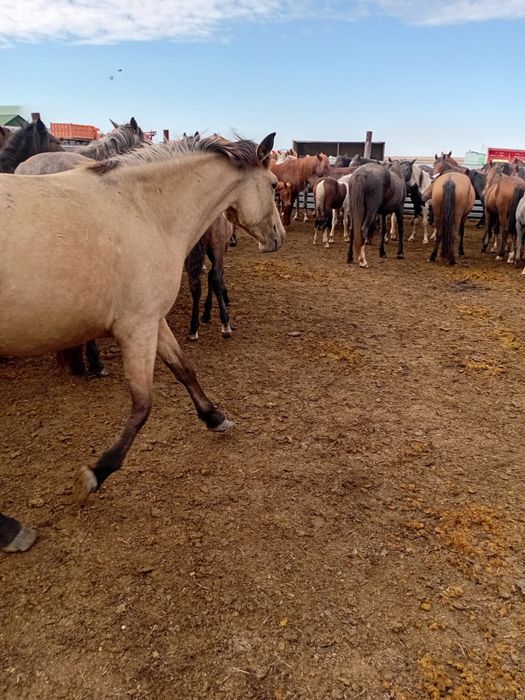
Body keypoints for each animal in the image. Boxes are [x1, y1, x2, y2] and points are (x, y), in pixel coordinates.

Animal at [0, 132, 285, 552]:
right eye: (273, 185)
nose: (279, 238)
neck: (145, 212)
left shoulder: (154, 322)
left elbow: (185, 369)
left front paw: (214, 417)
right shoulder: (138, 328)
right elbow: (142, 405)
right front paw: (95, 474)